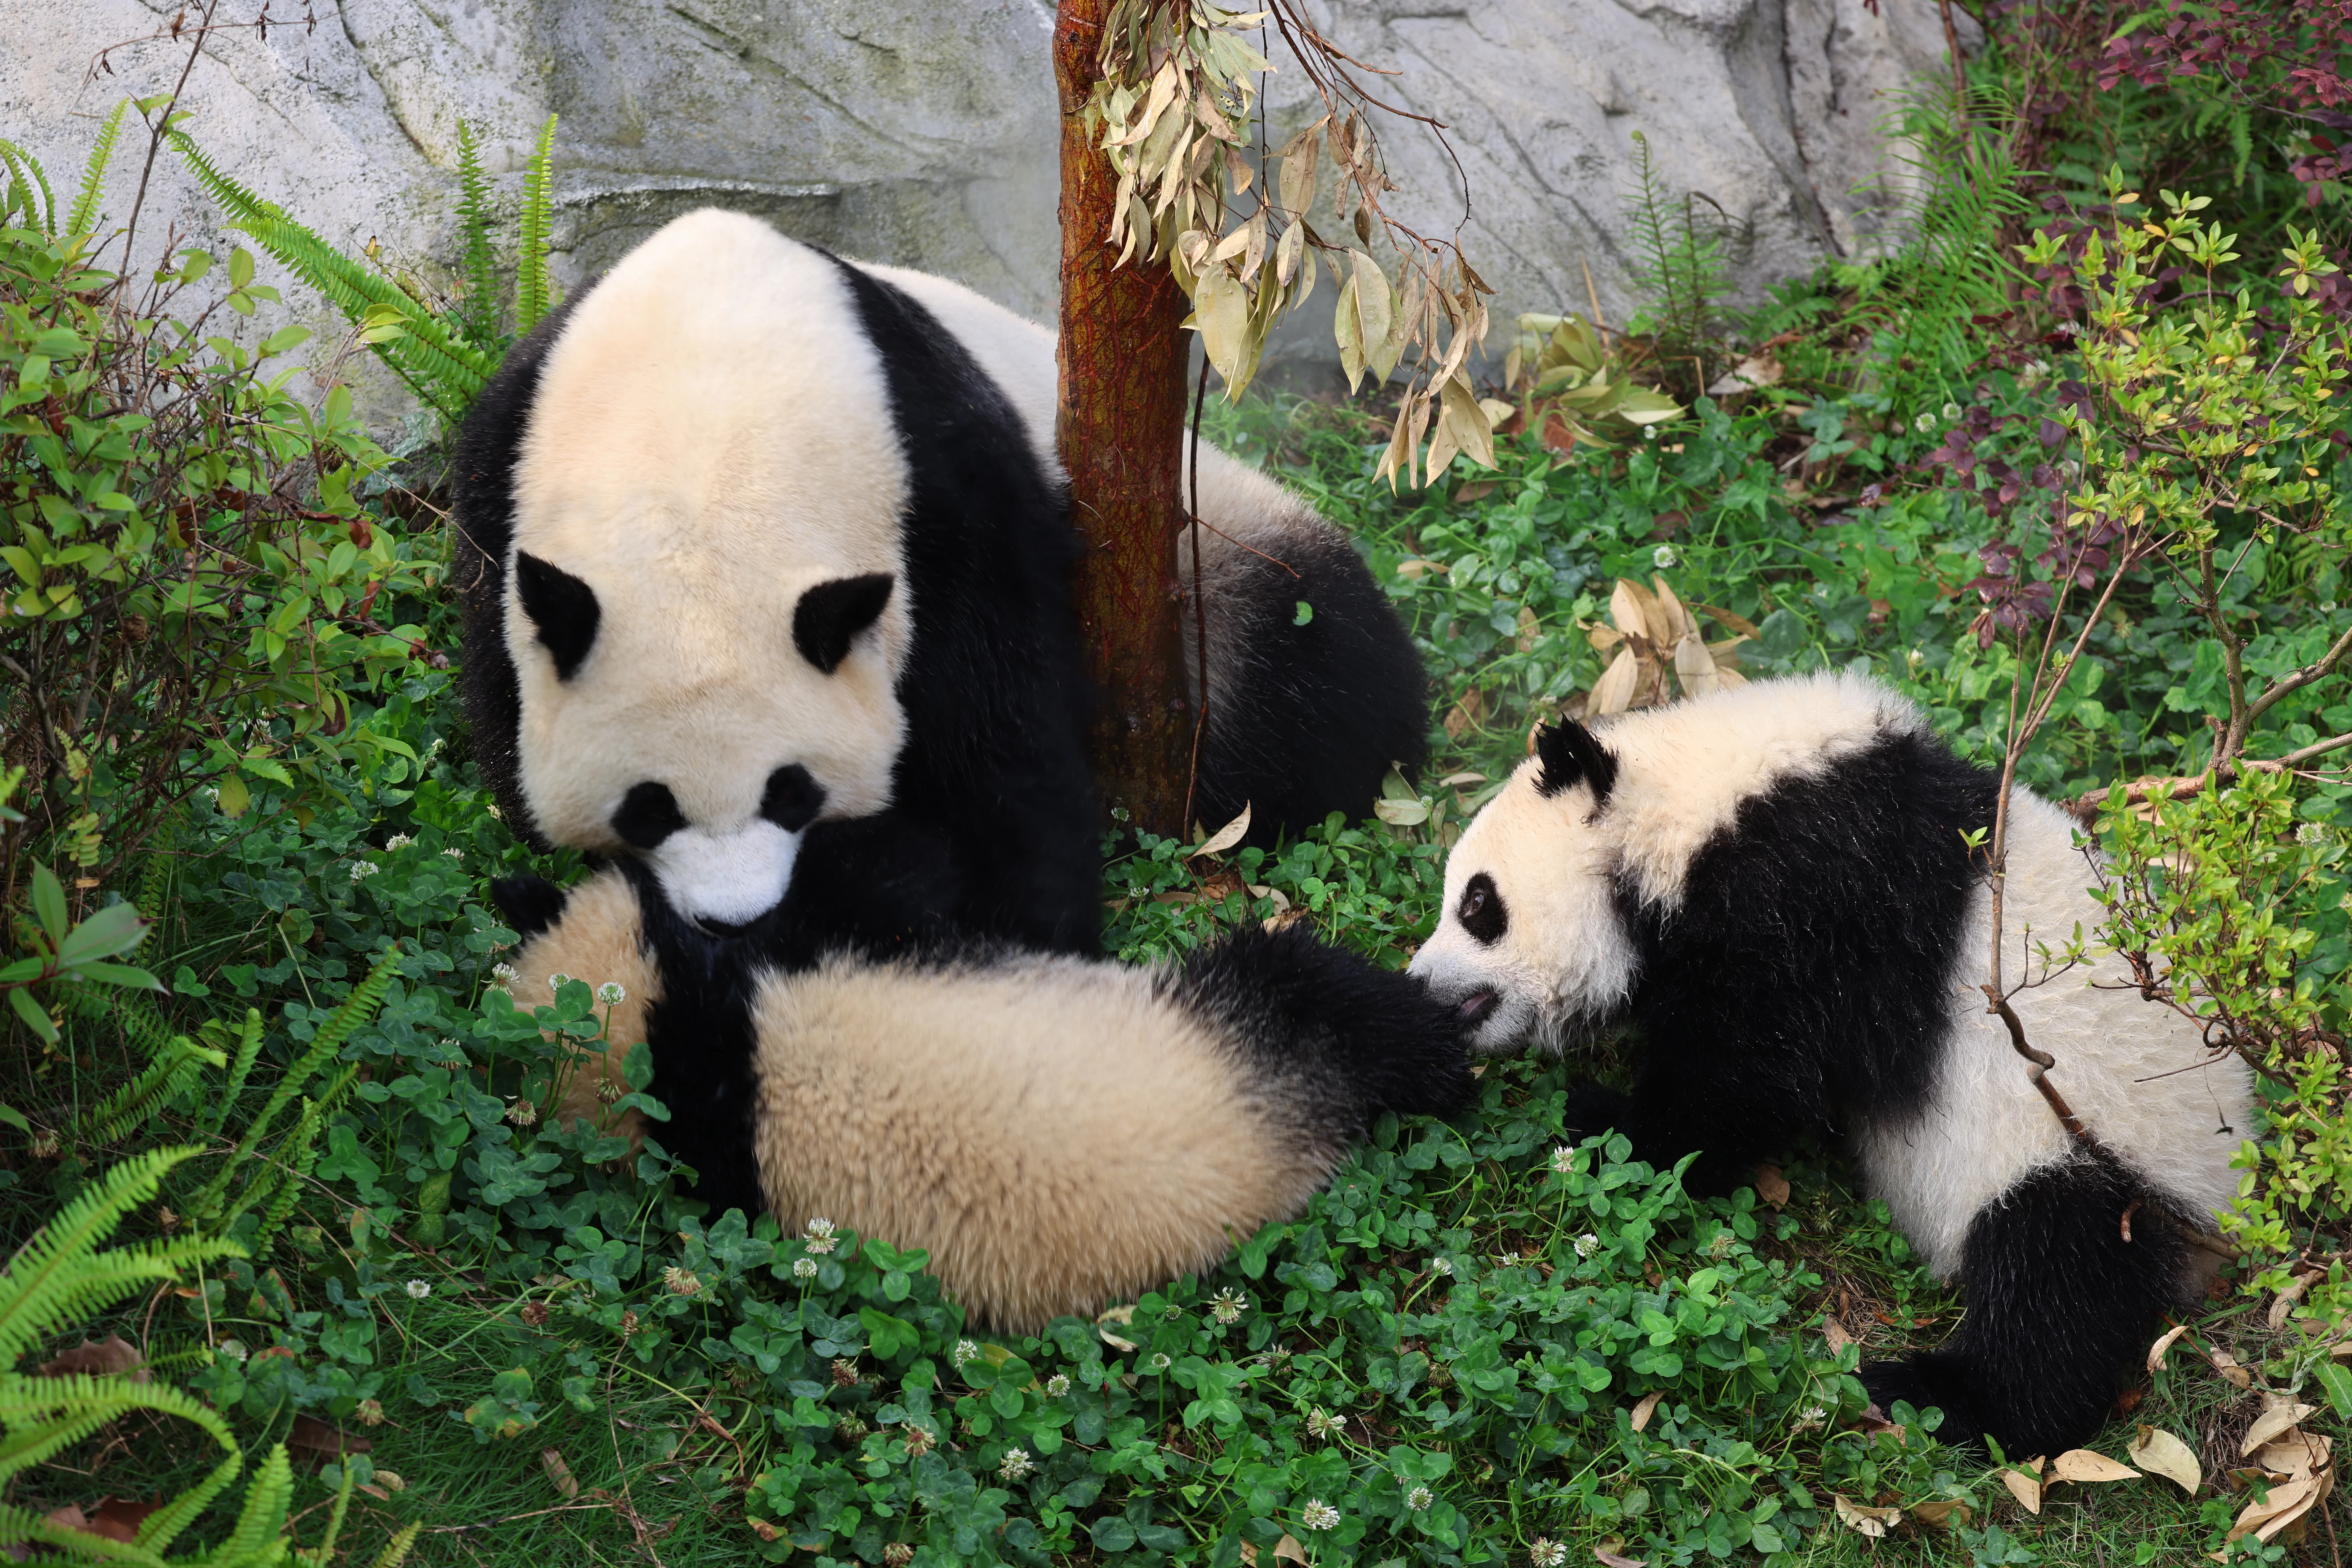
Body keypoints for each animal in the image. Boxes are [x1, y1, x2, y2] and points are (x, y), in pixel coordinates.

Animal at [1406, 671, 2250, 1458]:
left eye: (1478, 905)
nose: (1421, 986)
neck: (1689, 809)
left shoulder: (1811, 894)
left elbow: (1750, 1071)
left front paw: (1603, 1121)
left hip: (2095, 1150)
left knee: (2055, 1280)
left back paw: (1937, 1395)